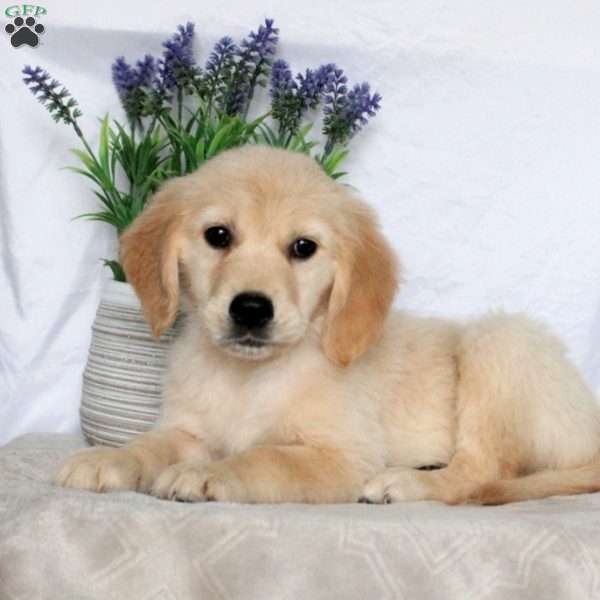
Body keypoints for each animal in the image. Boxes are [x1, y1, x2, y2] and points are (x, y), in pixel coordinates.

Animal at [57, 145, 600, 505]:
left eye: (303, 248)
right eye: (218, 235)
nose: (250, 309)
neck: (248, 378)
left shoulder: (343, 456)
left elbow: (268, 457)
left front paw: (210, 474)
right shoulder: (188, 430)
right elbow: (150, 445)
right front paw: (107, 459)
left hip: (502, 340)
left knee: (481, 470)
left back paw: (408, 482)